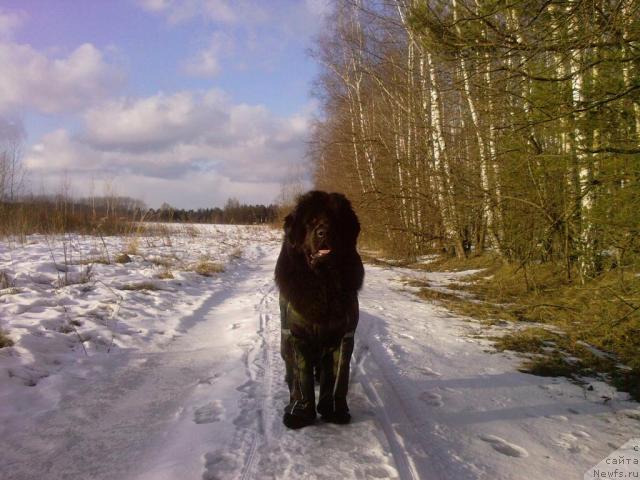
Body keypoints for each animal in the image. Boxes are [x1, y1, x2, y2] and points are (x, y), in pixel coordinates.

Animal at [276, 189, 364, 430]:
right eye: (311, 221)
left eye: (335, 220)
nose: (324, 232)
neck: (323, 282)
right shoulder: (296, 335)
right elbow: (300, 381)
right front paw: (299, 414)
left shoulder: (343, 336)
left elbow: (338, 380)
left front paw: (335, 412)